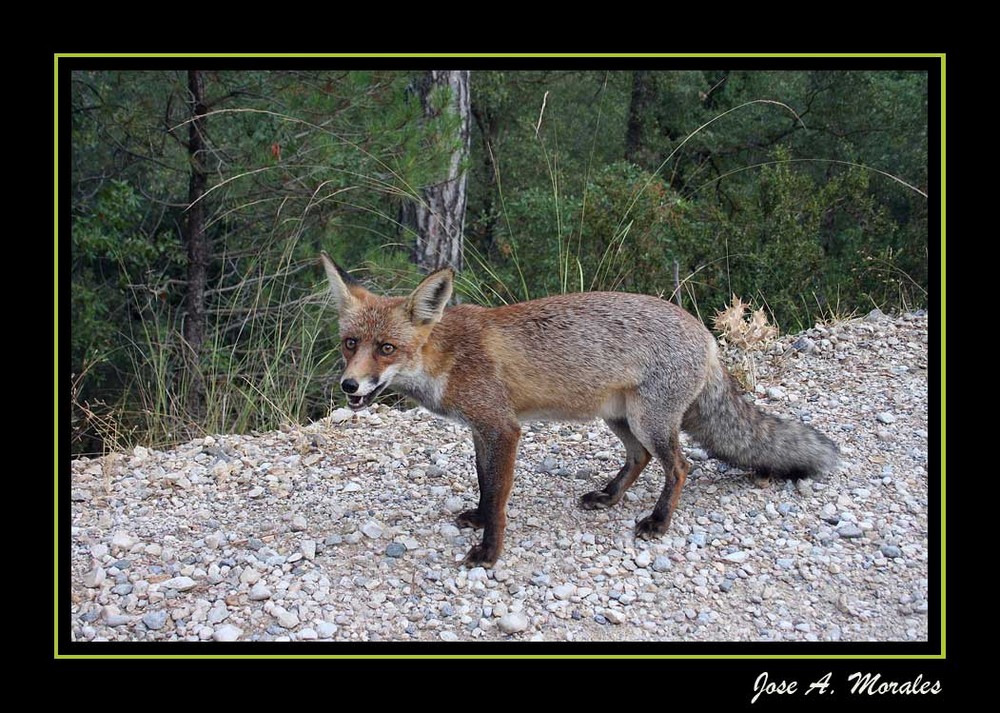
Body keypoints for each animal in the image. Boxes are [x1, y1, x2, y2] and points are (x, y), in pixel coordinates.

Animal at [320, 253, 836, 564]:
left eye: (387, 348)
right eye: (350, 344)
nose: (349, 385)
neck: (447, 358)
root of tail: (705, 333)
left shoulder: (503, 429)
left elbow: (500, 498)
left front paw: (490, 551)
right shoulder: (481, 429)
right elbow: (486, 487)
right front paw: (479, 519)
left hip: (649, 422)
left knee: (679, 467)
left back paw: (658, 521)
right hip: (620, 419)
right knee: (639, 459)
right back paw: (609, 496)